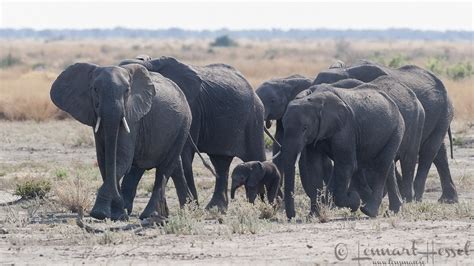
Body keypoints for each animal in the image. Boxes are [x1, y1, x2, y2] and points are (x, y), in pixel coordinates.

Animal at [51, 62, 192, 220]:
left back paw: (148, 215)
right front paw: (116, 214)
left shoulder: (132, 117)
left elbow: (121, 159)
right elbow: (104, 161)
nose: (119, 205)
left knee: (164, 169)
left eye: (127, 90)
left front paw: (101, 214)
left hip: (183, 125)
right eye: (95, 89)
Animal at [118, 56, 266, 212]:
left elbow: (183, 156)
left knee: (256, 157)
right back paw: (215, 209)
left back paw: (267, 206)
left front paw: (192, 206)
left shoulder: (191, 107)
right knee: (220, 163)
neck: (151, 62)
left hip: (254, 117)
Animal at [282, 83, 404, 218]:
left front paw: (354, 200)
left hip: (397, 129)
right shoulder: (316, 135)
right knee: (388, 166)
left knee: (381, 165)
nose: (293, 216)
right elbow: (314, 168)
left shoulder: (345, 128)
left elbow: (347, 166)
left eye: (305, 128)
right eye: (283, 125)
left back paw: (369, 211)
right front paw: (313, 215)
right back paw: (392, 211)